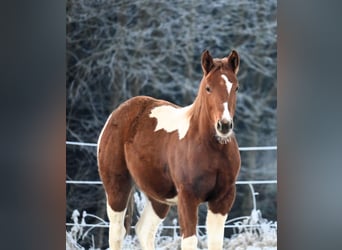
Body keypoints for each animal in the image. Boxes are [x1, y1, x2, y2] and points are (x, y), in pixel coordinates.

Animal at [96, 49, 240, 250]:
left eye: (236, 88)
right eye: (208, 88)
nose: (224, 126)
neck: (212, 150)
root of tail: (116, 114)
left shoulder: (222, 200)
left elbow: (215, 243)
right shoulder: (188, 198)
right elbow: (190, 241)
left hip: (159, 197)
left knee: (144, 230)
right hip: (117, 186)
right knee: (117, 233)